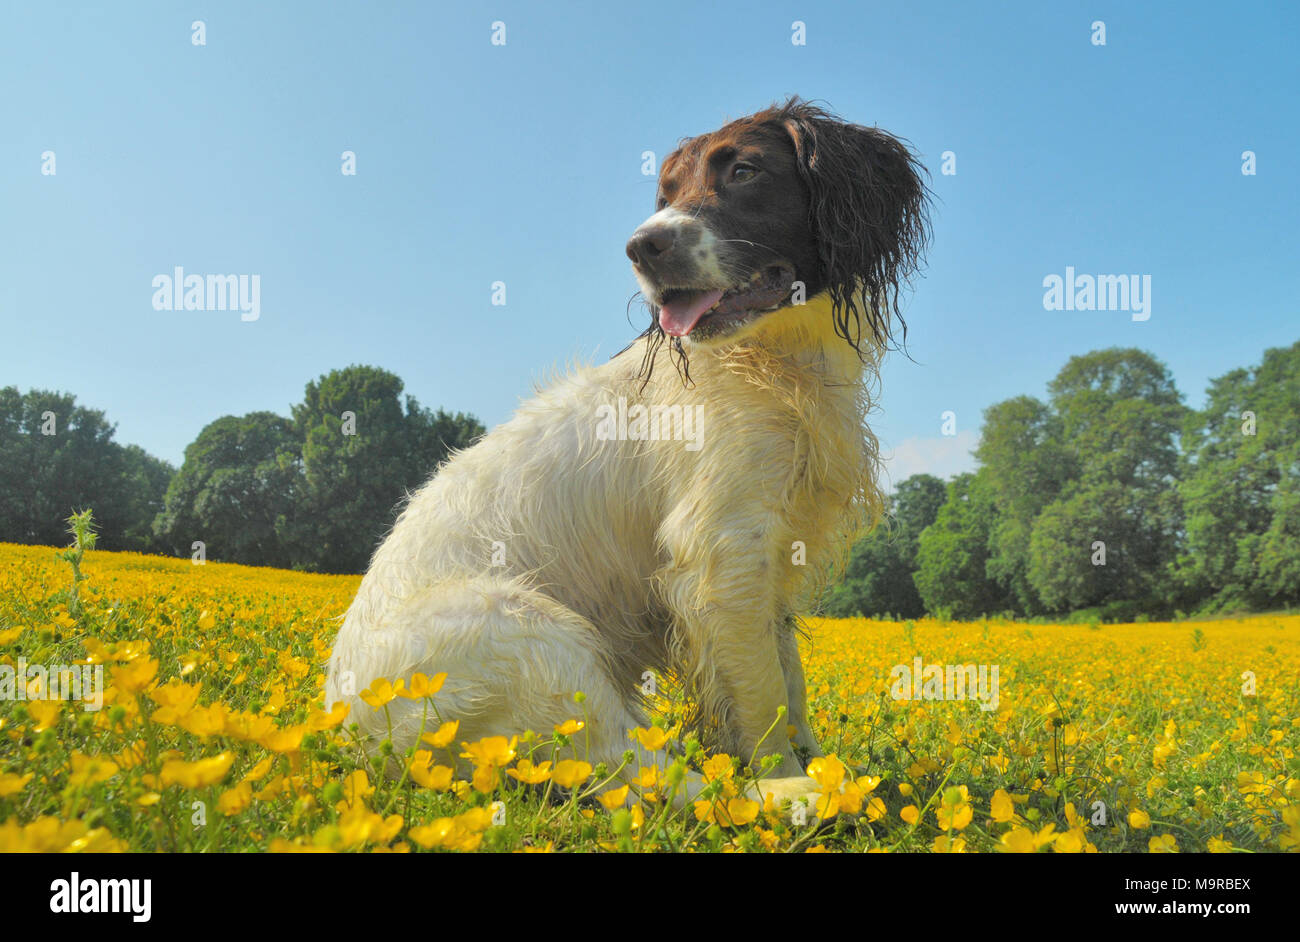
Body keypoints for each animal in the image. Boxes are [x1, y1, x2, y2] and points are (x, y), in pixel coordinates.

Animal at [327, 97, 935, 810]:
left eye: (745, 171)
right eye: (665, 193)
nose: (642, 246)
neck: (774, 362)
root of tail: (348, 733)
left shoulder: (770, 551)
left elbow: (789, 677)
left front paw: (821, 763)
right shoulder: (723, 548)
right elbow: (762, 697)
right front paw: (788, 776)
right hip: (532, 631)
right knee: (636, 768)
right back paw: (785, 800)